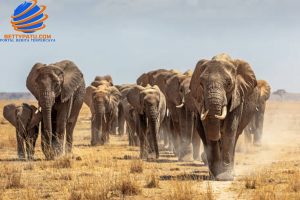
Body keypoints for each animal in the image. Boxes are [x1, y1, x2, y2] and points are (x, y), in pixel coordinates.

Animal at [190, 53, 258, 181]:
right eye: (201, 83)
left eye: (229, 83)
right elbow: (208, 129)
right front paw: (217, 176)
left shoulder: (237, 96)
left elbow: (229, 129)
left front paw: (225, 177)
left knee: (235, 136)